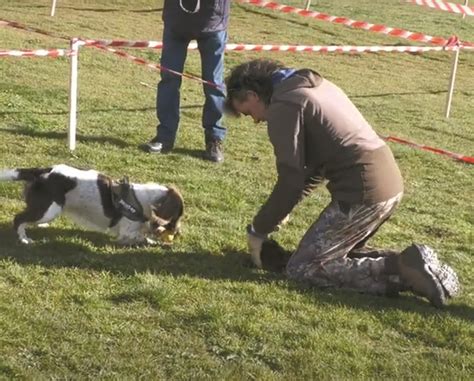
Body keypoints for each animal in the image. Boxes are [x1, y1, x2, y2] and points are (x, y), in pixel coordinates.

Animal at [0, 165, 184, 245]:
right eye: (177, 215)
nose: (177, 232)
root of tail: (42, 171)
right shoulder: (127, 231)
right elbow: (143, 237)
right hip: (50, 210)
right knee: (18, 218)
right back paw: (24, 239)